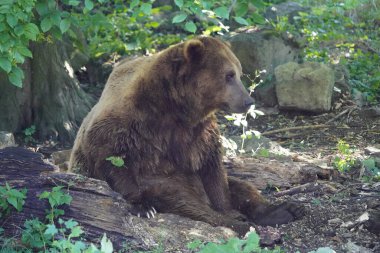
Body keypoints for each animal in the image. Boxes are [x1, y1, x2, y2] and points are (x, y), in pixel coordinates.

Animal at [70, 37, 304, 235]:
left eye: (239, 72)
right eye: (229, 75)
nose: (248, 101)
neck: (173, 106)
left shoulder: (196, 132)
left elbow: (213, 170)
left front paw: (228, 208)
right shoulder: (128, 127)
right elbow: (113, 161)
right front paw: (143, 207)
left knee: (242, 187)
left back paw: (284, 210)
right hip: (167, 184)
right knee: (185, 202)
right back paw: (242, 223)